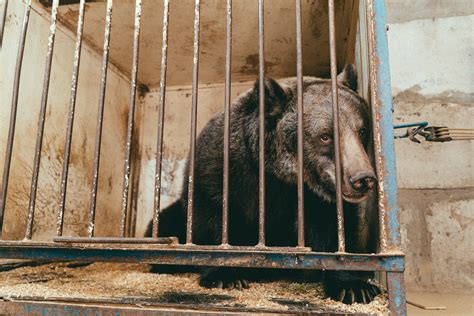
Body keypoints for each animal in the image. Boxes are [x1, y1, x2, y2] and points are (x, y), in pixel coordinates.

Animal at [144, 64, 382, 304]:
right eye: (325, 136)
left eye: (362, 130)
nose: (362, 178)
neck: (280, 174)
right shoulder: (224, 167)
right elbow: (212, 214)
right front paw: (225, 275)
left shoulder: (316, 197)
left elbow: (334, 230)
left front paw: (353, 286)